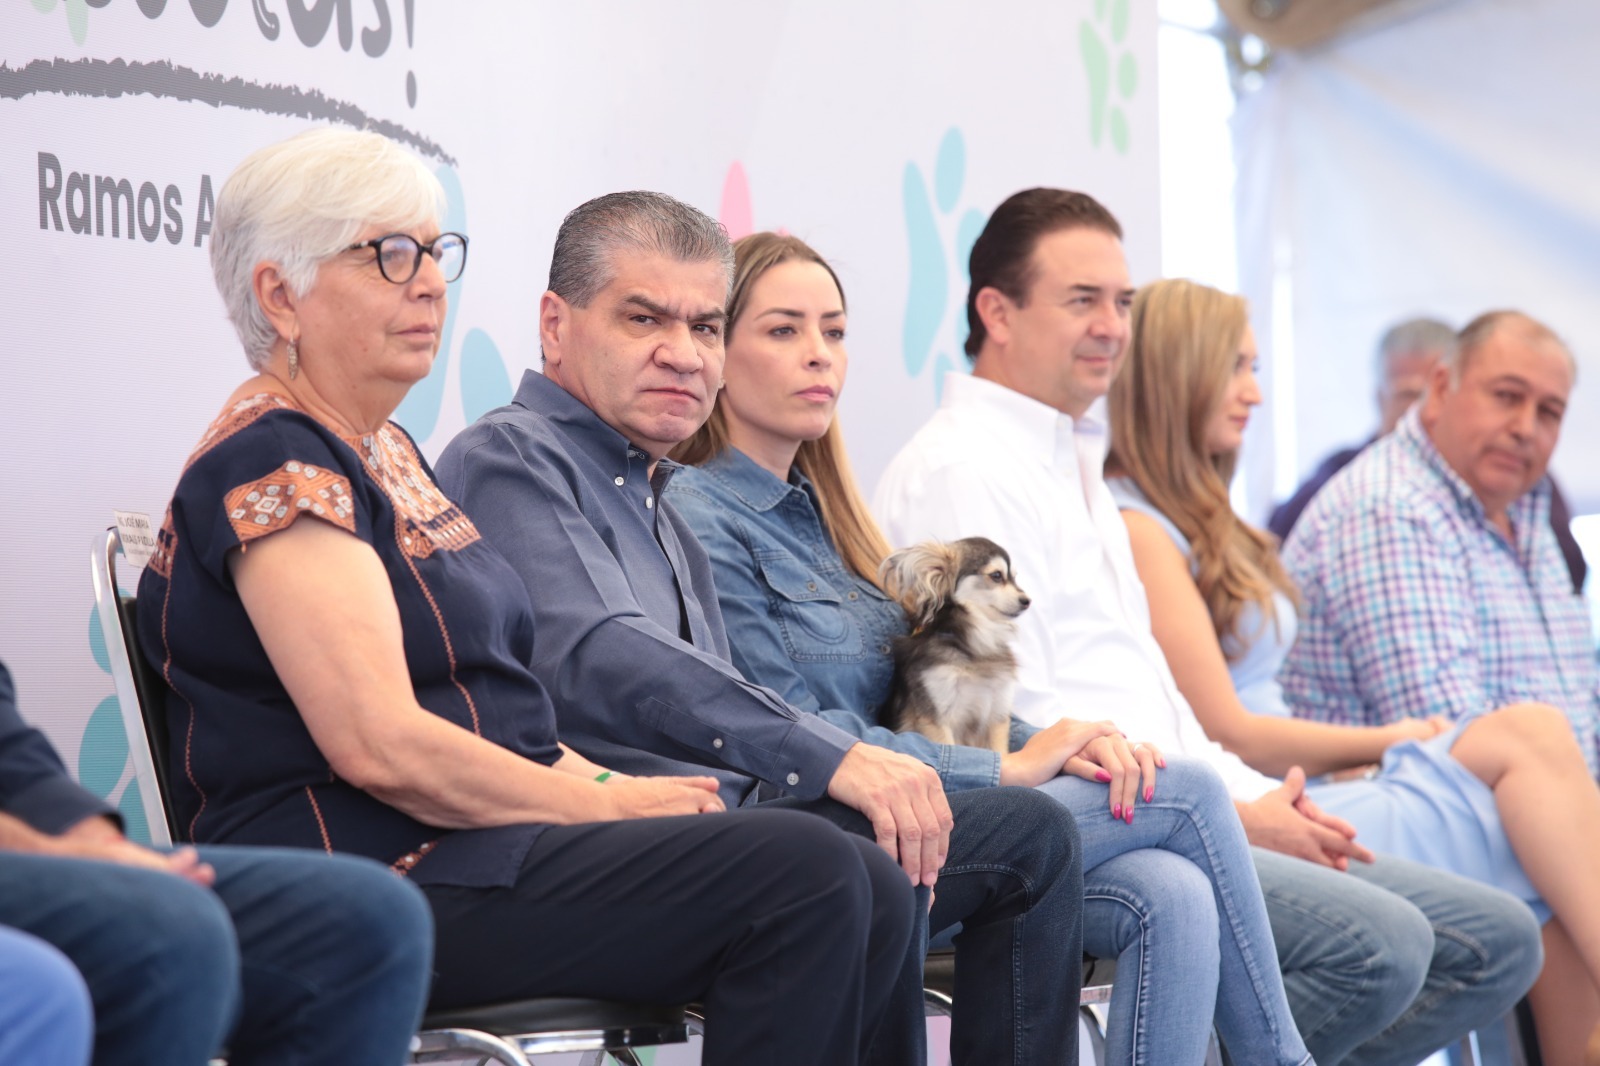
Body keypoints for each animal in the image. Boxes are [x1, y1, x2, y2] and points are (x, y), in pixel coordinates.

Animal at [883, 534, 1030, 752]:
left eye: (1015, 578)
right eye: (997, 575)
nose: (1027, 601)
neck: (975, 645)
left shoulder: (997, 713)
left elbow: (999, 752)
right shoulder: (935, 712)